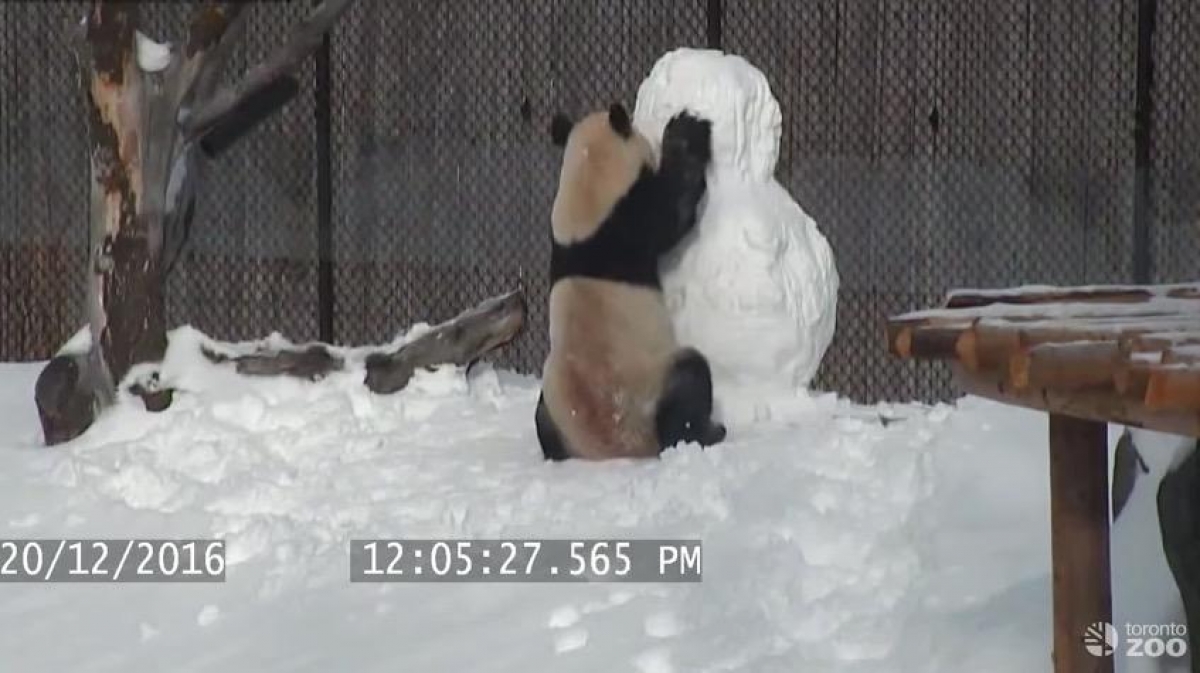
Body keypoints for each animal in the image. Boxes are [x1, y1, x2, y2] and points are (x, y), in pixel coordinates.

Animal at [534, 102, 727, 461]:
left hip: (554, 402)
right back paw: (706, 433)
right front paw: (686, 129)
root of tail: (616, 446)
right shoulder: (633, 222)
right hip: (651, 384)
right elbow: (675, 212)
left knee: (542, 420)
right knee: (689, 383)